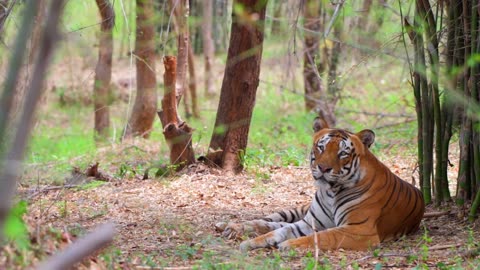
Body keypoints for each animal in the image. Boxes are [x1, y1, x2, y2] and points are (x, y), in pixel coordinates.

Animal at [221, 117, 424, 252]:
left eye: (343, 153)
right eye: (321, 147)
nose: (323, 168)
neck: (331, 192)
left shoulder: (360, 230)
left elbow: (322, 236)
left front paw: (288, 245)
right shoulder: (309, 223)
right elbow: (280, 230)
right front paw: (250, 243)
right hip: (297, 210)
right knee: (269, 220)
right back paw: (230, 226)